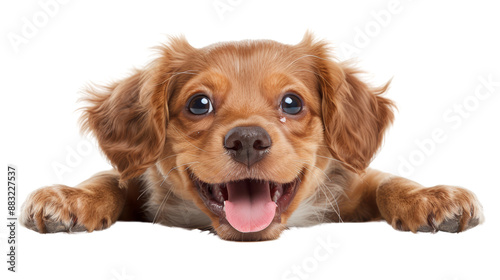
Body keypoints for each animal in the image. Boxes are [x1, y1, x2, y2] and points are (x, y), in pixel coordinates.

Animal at [20, 34, 484, 241]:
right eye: (199, 104)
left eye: (292, 103)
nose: (247, 139)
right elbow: (107, 179)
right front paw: (71, 197)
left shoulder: (352, 183)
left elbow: (388, 180)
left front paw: (430, 196)